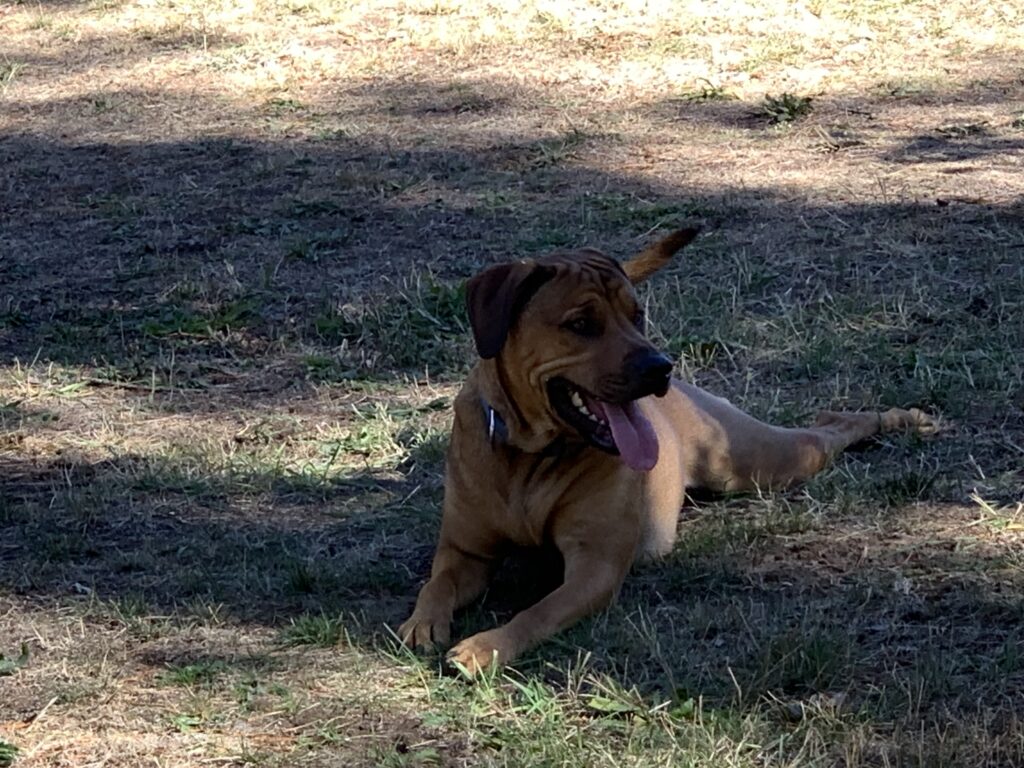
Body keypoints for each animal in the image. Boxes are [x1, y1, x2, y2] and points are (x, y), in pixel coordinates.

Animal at [399, 228, 936, 674]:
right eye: (581, 323)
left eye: (637, 315)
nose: (660, 366)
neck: (530, 454)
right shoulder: (465, 550)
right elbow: (436, 583)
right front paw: (422, 622)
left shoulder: (594, 567)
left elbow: (538, 611)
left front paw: (486, 646)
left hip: (758, 459)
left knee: (827, 434)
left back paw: (899, 419)